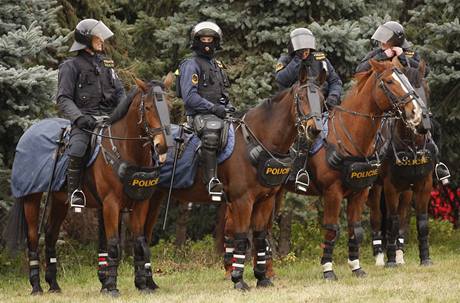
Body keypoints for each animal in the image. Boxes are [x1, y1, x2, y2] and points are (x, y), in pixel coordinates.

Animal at [4, 78, 171, 296]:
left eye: (167, 107)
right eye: (149, 107)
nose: (162, 146)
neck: (125, 149)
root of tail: (27, 135)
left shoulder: (140, 203)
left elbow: (139, 242)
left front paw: (142, 285)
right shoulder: (110, 204)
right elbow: (113, 245)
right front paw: (111, 287)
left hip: (60, 202)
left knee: (50, 235)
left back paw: (54, 285)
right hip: (31, 198)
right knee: (33, 237)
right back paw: (36, 287)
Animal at [144, 63, 324, 290]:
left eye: (322, 98)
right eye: (301, 97)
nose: (315, 129)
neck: (257, 141)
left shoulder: (265, 201)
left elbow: (259, 237)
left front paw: (262, 277)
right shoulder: (242, 201)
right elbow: (240, 237)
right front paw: (238, 279)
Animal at [225, 58, 426, 282]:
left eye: (406, 79)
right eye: (390, 81)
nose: (416, 113)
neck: (349, 136)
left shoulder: (360, 193)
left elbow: (355, 230)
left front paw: (356, 267)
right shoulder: (333, 193)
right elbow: (331, 230)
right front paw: (328, 269)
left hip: (273, 194)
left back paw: (266, 271)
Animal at [366, 60, 434, 268]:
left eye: (427, 88)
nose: (420, 120)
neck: (412, 145)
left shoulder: (424, 185)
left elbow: (421, 222)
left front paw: (425, 258)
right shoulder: (390, 186)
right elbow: (392, 220)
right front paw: (390, 261)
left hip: (406, 191)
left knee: (403, 217)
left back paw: (399, 253)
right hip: (375, 188)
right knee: (377, 216)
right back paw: (380, 256)